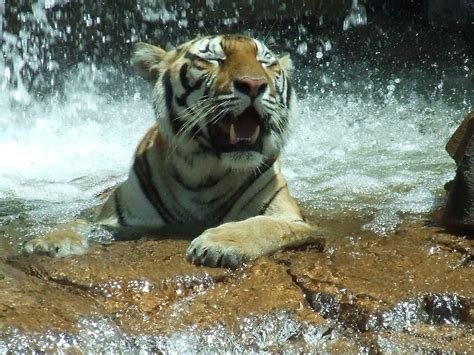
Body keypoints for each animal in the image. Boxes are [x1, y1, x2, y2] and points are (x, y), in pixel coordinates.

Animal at [23, 34, 318, 270]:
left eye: (266, 63)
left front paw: (217, 244)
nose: (254, 84)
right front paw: (46, 243)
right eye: (215, 59)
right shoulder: (113, 219)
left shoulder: (289, 217)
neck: (204, 171)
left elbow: (260, 225)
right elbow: (76, 223)